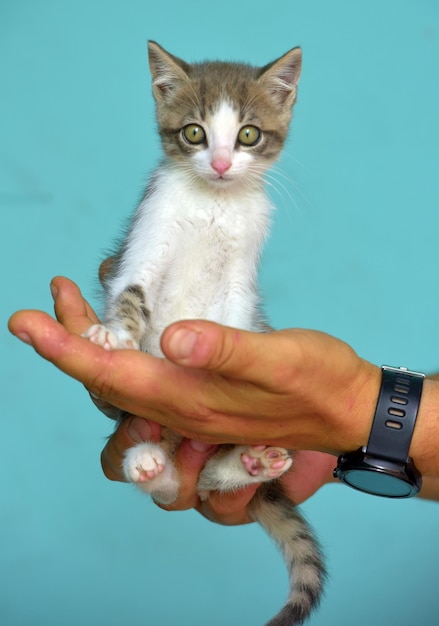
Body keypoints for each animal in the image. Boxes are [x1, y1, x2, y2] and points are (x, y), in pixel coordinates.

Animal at [86, 41, 326, 620]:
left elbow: (236, 318)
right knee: (172, 481)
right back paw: (149, 461)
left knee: (210, 476)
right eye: (194, 133)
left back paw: (251, 461)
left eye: (248, 135)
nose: (218, 165)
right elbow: (132, 289)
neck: (214, 205)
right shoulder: (147, 238)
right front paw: (115, 335)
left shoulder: (241, 279)